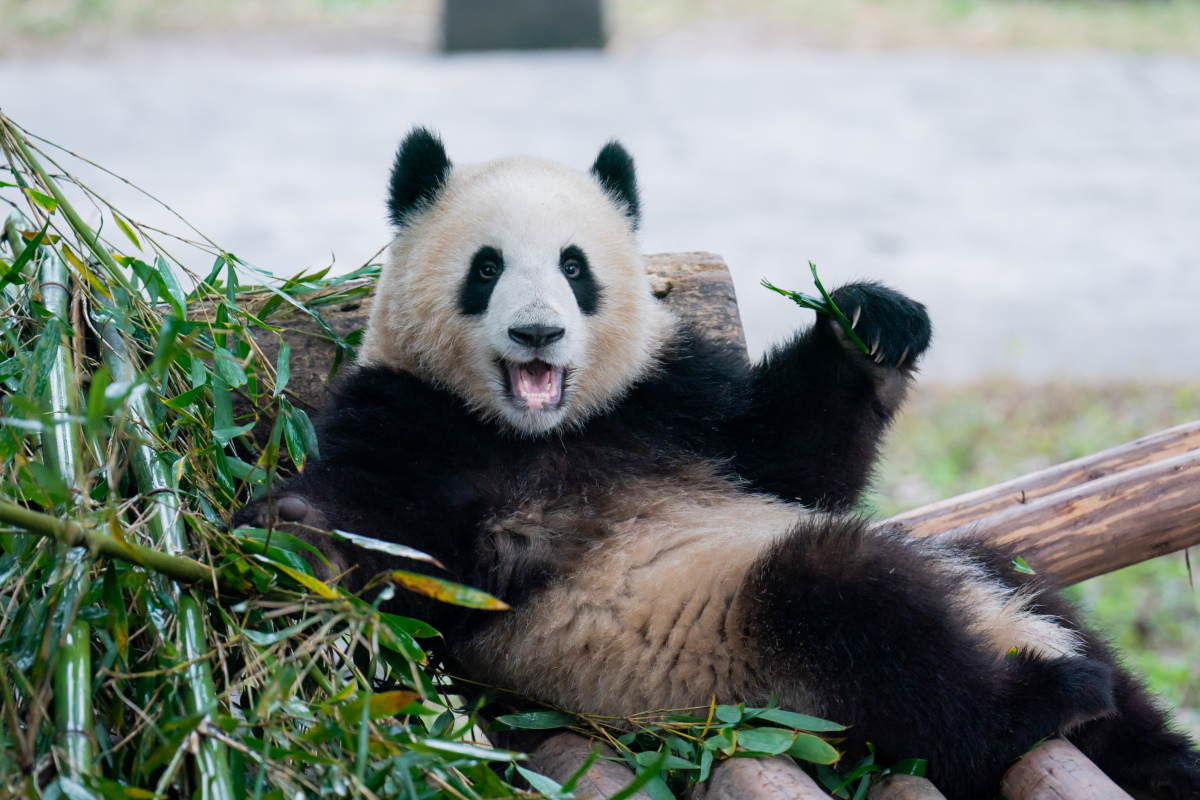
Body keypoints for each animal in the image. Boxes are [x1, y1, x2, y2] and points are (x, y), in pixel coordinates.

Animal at [234, 128, 1200, 796]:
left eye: (575, 268)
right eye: (486, 268)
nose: (538, 333)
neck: (541, 430)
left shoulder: (672, 399)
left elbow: (793, 461)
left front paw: (872, 322)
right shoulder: (413, 424)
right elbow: (388, 536)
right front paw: (285, 538)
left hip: (980, 578)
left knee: (1028, 596)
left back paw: (1147, 745)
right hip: (773, 679)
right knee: (872, 626)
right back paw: (1043, 696)